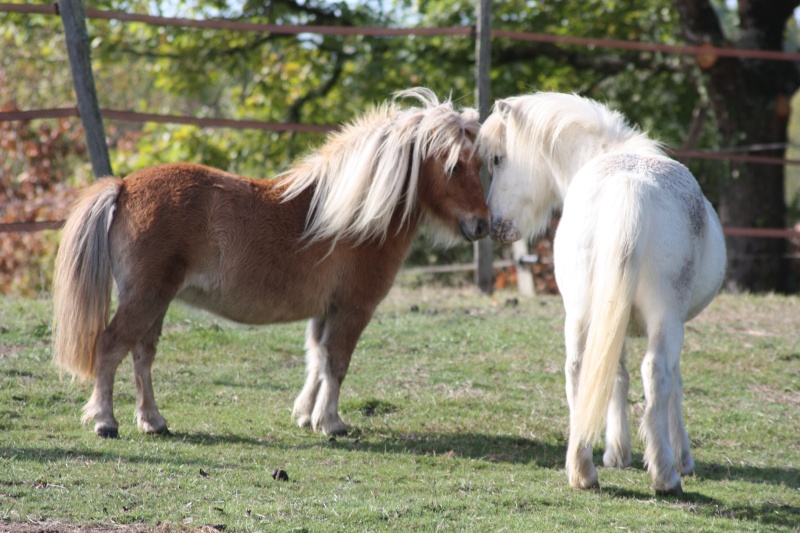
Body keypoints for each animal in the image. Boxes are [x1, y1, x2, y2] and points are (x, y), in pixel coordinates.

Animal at [54, 87, 488, 436]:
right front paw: (331, 423)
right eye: (453, 166)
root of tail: (124, 186)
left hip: (154, 301)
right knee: (111, 345)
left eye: (481, 164)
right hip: (146, 297)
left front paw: (306, 416)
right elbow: (337, 363)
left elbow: (317, 359)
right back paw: (105, 421)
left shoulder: (326, 310)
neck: (353, 213)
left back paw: (153, 421)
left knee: (142, 354)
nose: (483, 224)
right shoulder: (353, 309)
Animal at [478, 92, 728, 494]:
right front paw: (679, 457)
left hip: (582, 312)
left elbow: (614, 374)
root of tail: (629, 184)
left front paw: (615, 453)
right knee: (657, 372)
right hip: (666, 319)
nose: (494, 224)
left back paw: (583, 470)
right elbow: (670, 382)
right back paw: (666, 474)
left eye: (498, 159)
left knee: (580, 368)